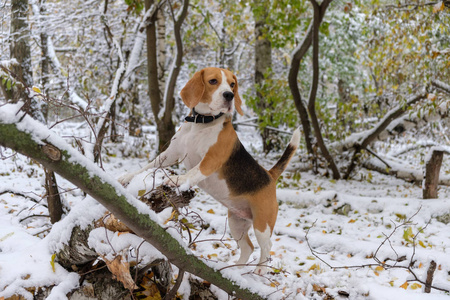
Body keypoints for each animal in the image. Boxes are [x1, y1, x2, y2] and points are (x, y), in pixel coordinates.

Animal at [120, 67, 298, 274]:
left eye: (232, 84)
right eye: (213, 81)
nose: (229, 95)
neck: (201, 123)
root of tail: (269, 175)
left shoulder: (211, 160)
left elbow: (194, 172)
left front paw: (178, 180)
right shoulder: (170, 154)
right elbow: (150, 165)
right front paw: (128, 176)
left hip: (262, 223)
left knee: (266, 246)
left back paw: (260, 270)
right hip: (236, 222)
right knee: (248, 247)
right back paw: (234, 271)